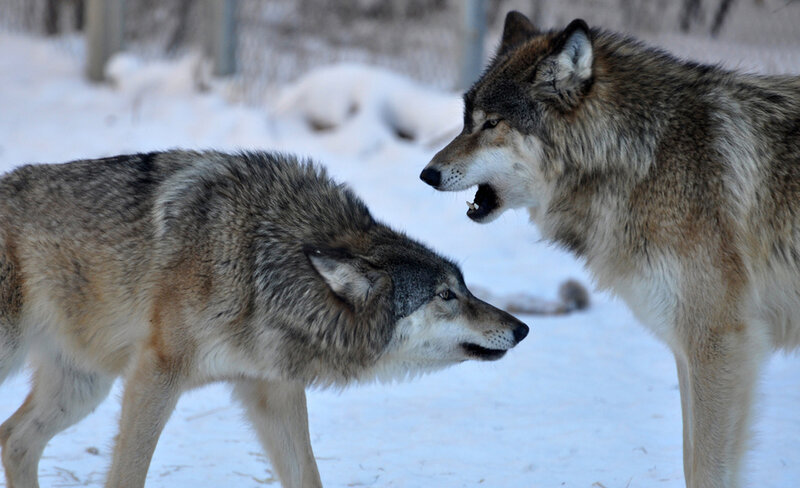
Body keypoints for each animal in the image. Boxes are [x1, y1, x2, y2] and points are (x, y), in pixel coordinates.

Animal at [0, 150, 528, 488]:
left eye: (464, 288)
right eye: (446, 295)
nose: (522, 329)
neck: (258, 262)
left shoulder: (272, 389)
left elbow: (307, 475)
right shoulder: (156, 375)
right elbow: (128, 475)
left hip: (82, 390)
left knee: (14, 440)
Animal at [421, 11, 800, 488]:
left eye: (492, 124)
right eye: (466, 120)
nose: (427, 173)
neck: (643, 158)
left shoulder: (719, 342)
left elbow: (705, 468)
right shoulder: (689, 347)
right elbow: (689, 458)